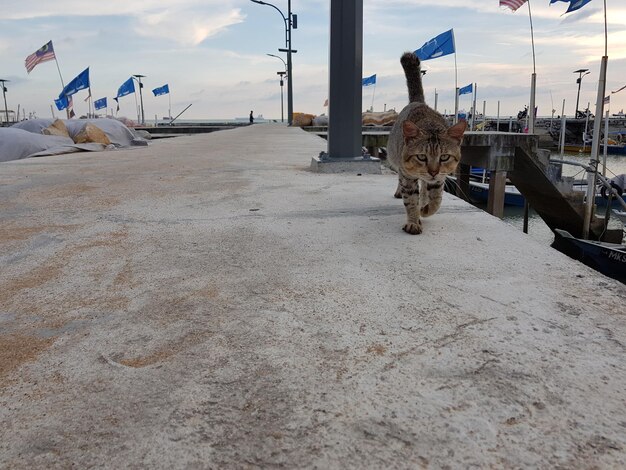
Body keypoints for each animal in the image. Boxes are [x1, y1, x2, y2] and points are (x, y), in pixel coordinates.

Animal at [386, 51, 464, 235]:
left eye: (444, 157)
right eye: (421, 157)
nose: (433, 171)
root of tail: (418, 101)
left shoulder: (439, 179)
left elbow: (436, 200)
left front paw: (425, 209)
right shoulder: (408, 176)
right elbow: (411, 201)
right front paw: (414, 220)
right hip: (396, 160)